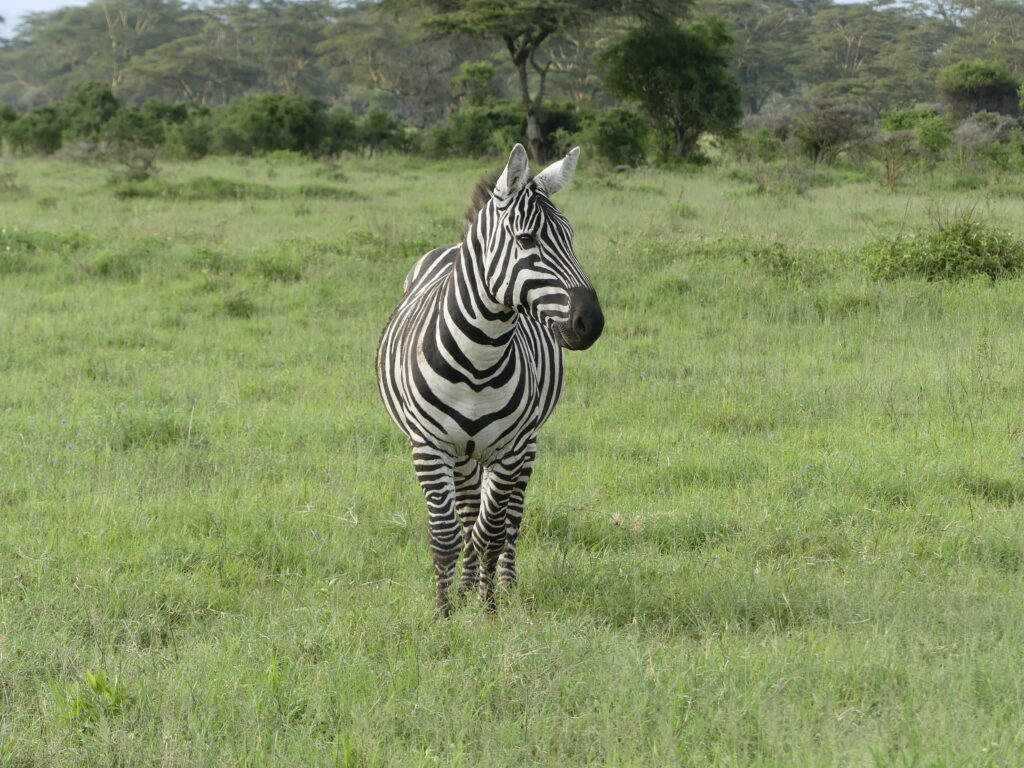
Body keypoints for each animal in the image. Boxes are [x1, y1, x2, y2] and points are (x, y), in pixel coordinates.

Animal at [376, 144, 604, 617]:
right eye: (526, 240)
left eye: (571, 238)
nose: (591, 323)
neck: (479, 361)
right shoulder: (429, 446)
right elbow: (447, 534)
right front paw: (445, 612)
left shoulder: (510, 448)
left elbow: (493, 533)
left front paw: (490, 608)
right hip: (462, 452)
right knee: (465, 513)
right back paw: (462, 588)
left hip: (525, 445)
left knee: (511, 519)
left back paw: (506, 584)